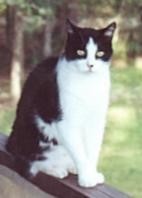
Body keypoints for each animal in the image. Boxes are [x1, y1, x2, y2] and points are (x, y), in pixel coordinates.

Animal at [6, 19, 116, 188]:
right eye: (80, 52)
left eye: (99, 54)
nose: (90, 65)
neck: (87, 84)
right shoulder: (66, 122)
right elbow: (79, 152)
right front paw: (87, 177)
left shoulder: (97, 121)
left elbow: (92, 150)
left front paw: (91, 172)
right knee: (31, 163)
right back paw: (56, 169)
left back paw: (71, 167)